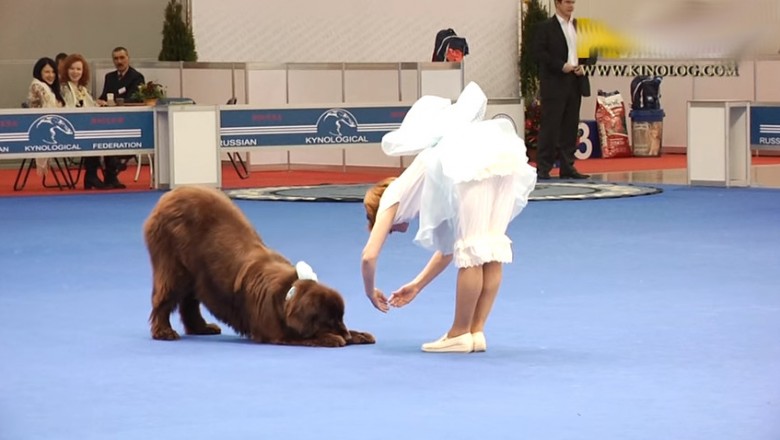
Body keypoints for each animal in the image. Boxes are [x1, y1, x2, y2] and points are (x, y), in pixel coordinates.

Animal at [142, 186, 374, 348]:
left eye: (340, 317)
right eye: (329, 320)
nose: (344, 334)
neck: (286, 294)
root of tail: (169, 195)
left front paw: (358, 334)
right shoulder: (276, 333)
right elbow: (302, 336)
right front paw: (332, 338)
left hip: (196, 276)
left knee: (189, 303)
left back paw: (201, 328)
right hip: (173, 268)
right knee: (164, 299)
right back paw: (164, 332)